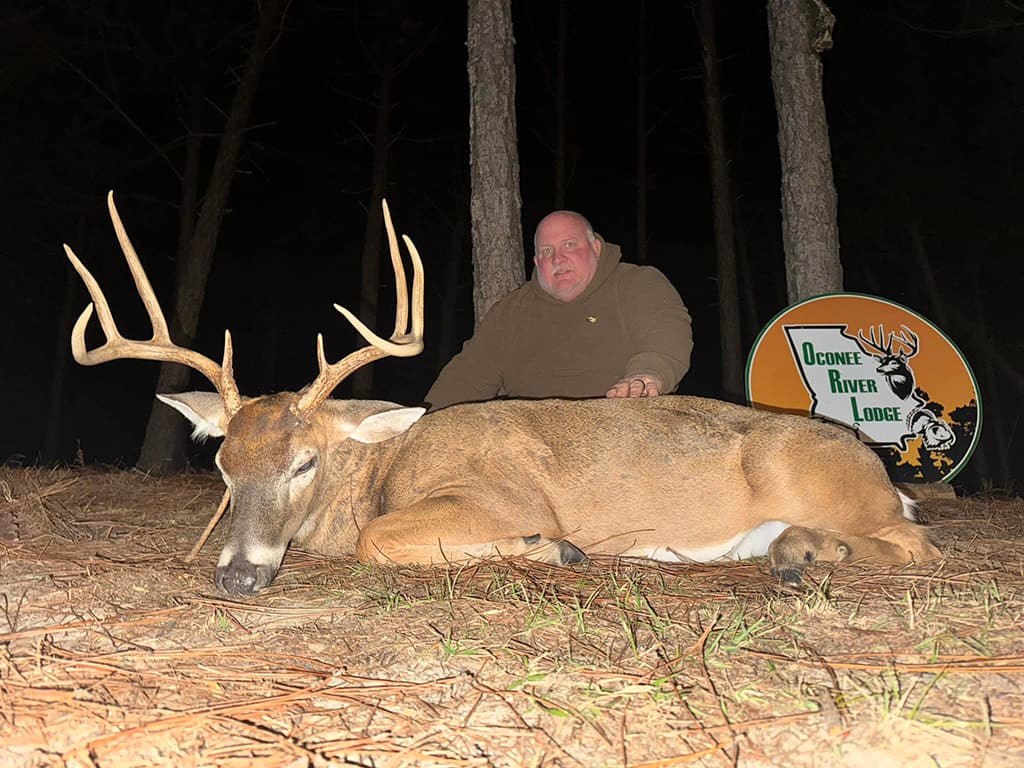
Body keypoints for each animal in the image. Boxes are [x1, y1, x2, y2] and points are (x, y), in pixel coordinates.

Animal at [65, 192, 942, 596]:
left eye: (306, 461)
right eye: (222, 463)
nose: (239, 576)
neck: (383, 469)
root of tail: (877, 467)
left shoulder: (499, 496)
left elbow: (378, 539)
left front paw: (556, 548)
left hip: (814, 474)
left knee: (919, 545)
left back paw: (807, 552)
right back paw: (789, 550)